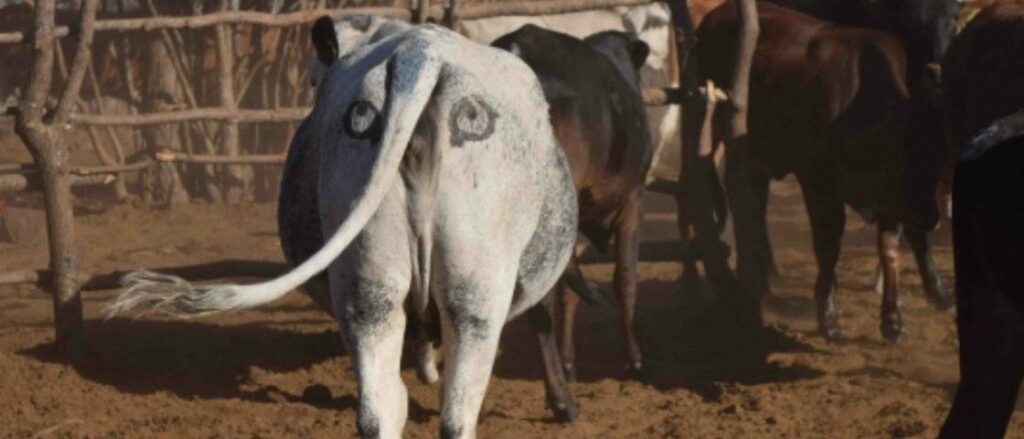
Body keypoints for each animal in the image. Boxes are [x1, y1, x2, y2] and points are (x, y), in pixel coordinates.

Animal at [695, 2, 951, 341]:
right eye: (903, 162)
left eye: (936, 161)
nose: (932, 218)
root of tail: (715, 15)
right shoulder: (819, 185)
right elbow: (828, 247)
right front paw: (828, 315)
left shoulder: (890, 201)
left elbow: (890, 248)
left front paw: (893, 319)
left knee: (755, 203)